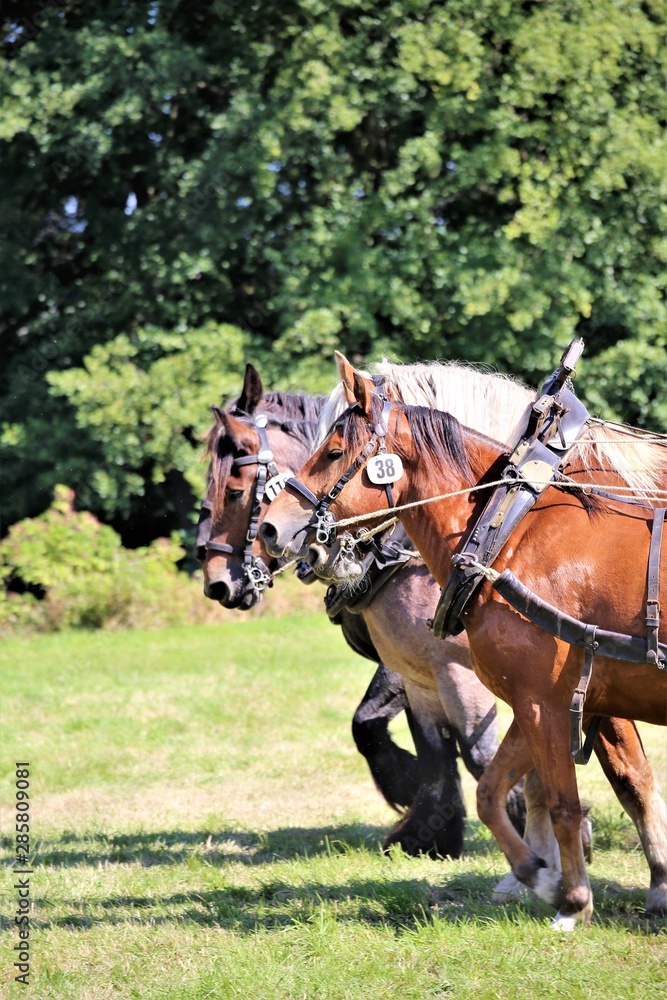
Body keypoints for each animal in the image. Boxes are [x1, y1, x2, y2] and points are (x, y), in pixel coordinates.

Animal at [262, 360, 667, 928]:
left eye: (334, 451)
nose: (272, 529)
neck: (510, 529)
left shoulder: (545, 700)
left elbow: (574, 796)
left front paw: (575, 898)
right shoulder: (538, 699)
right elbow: (495, 789)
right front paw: (538, 873)